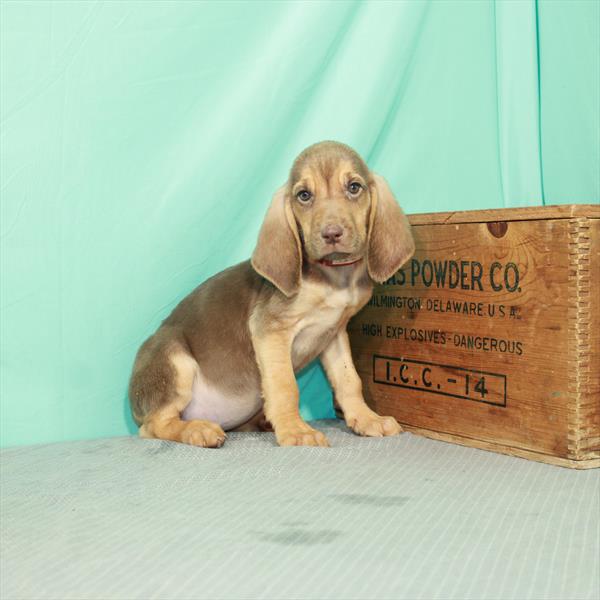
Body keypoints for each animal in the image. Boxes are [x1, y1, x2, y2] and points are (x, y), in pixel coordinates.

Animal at [129, 138, 414, 442]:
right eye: (303, 195)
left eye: (354, 187)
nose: (331, 234)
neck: (334, 278)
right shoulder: (270, 330)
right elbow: (285, 386)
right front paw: (295, 429)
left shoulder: (334, 333)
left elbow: (349, 380)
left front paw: (366, 418)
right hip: (173, 357)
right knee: (153, 426)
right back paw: (197, 429)